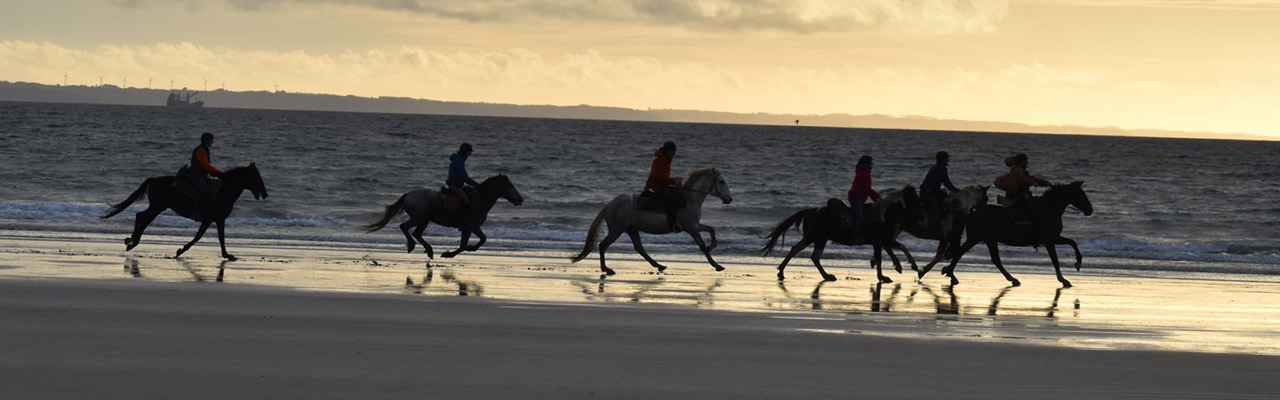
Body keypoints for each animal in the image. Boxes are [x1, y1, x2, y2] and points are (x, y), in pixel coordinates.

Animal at [105, 164, 272, 261]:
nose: (265, 194)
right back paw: (133, 242)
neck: (223, 193)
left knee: (141, 216)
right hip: (158, 207)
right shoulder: (217, 219)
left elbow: (203, 237)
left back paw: (131, 240)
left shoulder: (211, 220)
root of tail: (154, 180)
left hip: (157, 207)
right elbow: (216, 238)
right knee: (143, 218)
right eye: (256, 176)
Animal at [363, 174, 522, 258]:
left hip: (424, 220)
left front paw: (471, 248)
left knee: (416, 233)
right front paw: (449, 254)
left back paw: (429, 250)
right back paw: (415, 246)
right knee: (405, 227)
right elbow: (463, 245)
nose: (520, 200)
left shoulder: (474, 227)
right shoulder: (468, 227)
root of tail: (409, 195)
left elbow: (483, 239)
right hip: (419, 218)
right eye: (510, 186)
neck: (480, 200)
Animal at [570, 167, 732, 274]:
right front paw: (717, 265)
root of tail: (609, 205)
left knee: (639, 248)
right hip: (617, 230)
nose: (729, 199)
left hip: (631, 229)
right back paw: (607, 269)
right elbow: (702, 246)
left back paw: (659, 265)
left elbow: (711, 230)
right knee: (603, 245)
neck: (689, 199)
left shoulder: (694, 225)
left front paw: (712, 247)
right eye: (722, 181)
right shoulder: (691, 228)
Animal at [757, 185, 921, 283]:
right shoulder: (882, 240)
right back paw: (784, 271)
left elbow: (885, 254)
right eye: (914, 198)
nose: (922, 213)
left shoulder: (881, 241)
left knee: (812, 256)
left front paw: (894, 268)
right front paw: (908, 267)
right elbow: (900, 248)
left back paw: (824, 275)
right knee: (799, 250)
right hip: (814, 237)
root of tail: (812, 210)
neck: (884, 215)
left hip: (819, 239)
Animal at [916, 180, 1095, 287]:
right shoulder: (1049, 240)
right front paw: (1064, 278)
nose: (1090, 210)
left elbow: (1072, 242)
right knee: (969, 254)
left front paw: (1077, 263)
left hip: (984, 239)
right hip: (982, 238)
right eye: (1081, 194)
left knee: (987, 258)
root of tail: (972, 213)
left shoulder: (1054, 239)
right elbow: (1056, 259)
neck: (1050, 208)